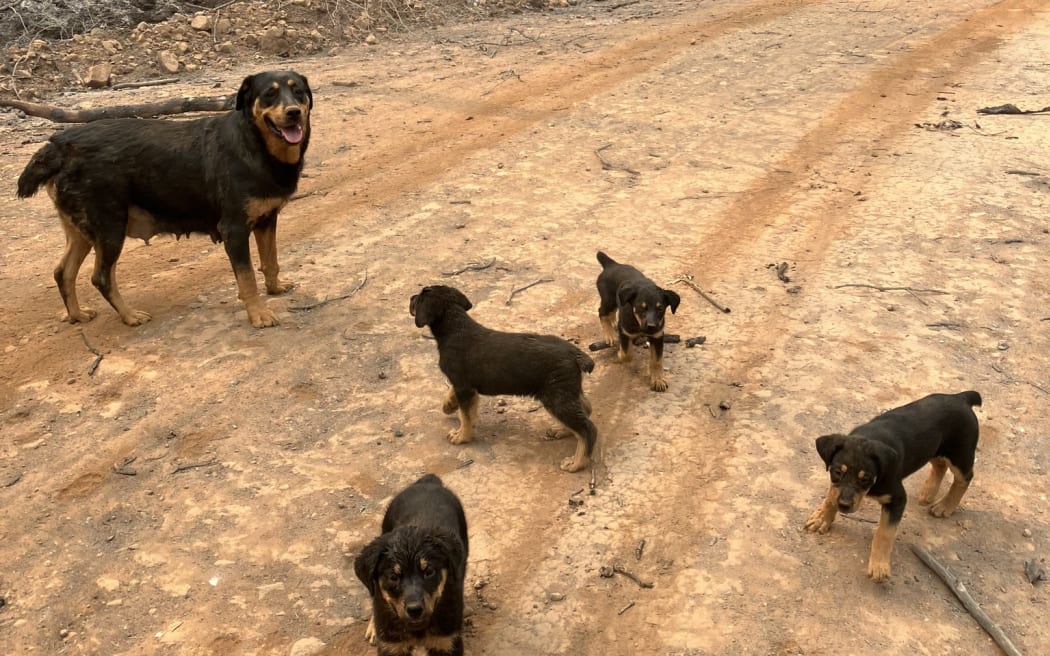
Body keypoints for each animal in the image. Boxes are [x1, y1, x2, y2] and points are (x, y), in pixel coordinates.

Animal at [16, 70, 310, 327]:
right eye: (269, 95)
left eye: (298, 91)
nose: (293, 112)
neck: (255, 144)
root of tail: (59, 145)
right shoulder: (234, 229)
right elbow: (247, 278)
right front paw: (258, 314)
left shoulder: (266, 219)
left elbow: (271, 261)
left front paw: (274, 289)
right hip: (110, 228)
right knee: (101, 277)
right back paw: (129, 315)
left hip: (82, 230)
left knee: (63, 272)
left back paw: (77, 315)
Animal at [352, 472, 468, 650]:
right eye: (393, 577)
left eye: (429, 572)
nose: (415, 610)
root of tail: (428, 482)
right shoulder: (391, 644)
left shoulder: (447, 641)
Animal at [407, 283, 596, 470]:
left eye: (418, 298)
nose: (410, 298)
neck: (455, 328)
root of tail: (575, 354)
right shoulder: (464, 386)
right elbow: (462, 407)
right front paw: (449, 406)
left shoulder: (463, 386)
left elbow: (466, 417)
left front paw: (462, 437)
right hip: (566, 391)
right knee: (586, 409)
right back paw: (562, 431)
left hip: (556, 397)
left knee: (587, 429)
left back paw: (577, 463)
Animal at [596, 249, 684, 388]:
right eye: (642, 308)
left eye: (660, 309)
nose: (651, 327)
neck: (638, 323)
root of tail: (612, 264)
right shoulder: (625, 332)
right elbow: (627, 354)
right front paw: (620, 354)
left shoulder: (658, 336)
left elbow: (657, 361)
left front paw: (658, 379)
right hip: (608, 299)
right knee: (602, 312)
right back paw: (609, 334)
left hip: (615, 301)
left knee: (611, 312)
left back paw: (613, 322)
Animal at [802, 388, 982, 579]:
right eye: (837, 472)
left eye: (865, 479)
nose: (843, 506)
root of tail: (961, 397)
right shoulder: (836, 485)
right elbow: (831, 494)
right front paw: (821, 518)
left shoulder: (897, 498)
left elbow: (885, 532)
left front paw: (879, 566)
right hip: (934, 449)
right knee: (940, 465)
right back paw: (928, 493)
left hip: (960, 454)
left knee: (964, 478)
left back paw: (945, 506)